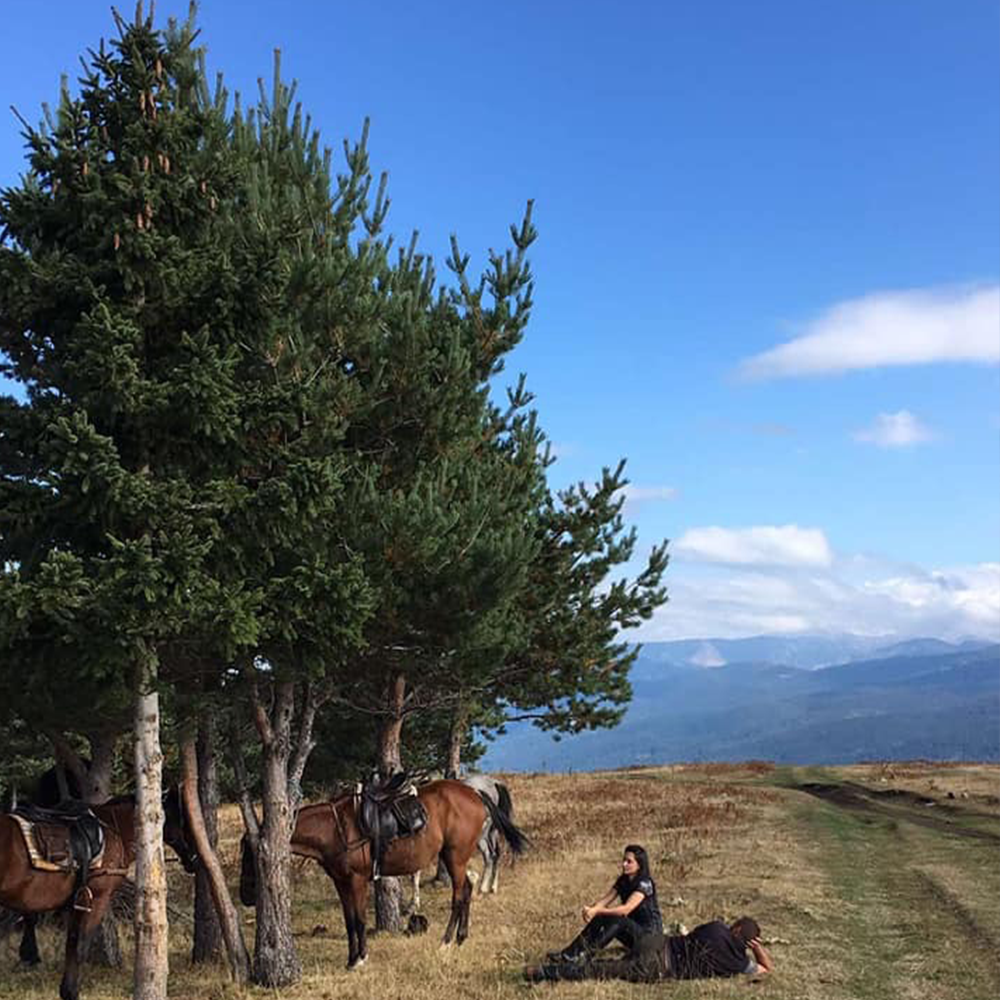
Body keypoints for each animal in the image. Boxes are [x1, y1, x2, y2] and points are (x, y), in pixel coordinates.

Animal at [0, 788, 198, 1000]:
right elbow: (81, 947)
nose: (194, 858)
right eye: (181, 820)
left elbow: (71, 945)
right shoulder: (97, 899)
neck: (115, 830)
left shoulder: (75, 903)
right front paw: (71, 992)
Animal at [239, 778, 529, 969]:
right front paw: (351, 959)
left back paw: (446, 942)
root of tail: (476, 792)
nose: (246, 896)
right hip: (456, 858)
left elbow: (359, 920)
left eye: (252, 855)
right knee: (467, 889)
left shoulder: (356, 881)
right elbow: (349, 921)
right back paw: (460, 938)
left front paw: (361, 958)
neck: (334, 829)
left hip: (454, 857)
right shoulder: (341, 882)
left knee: (459, 896)